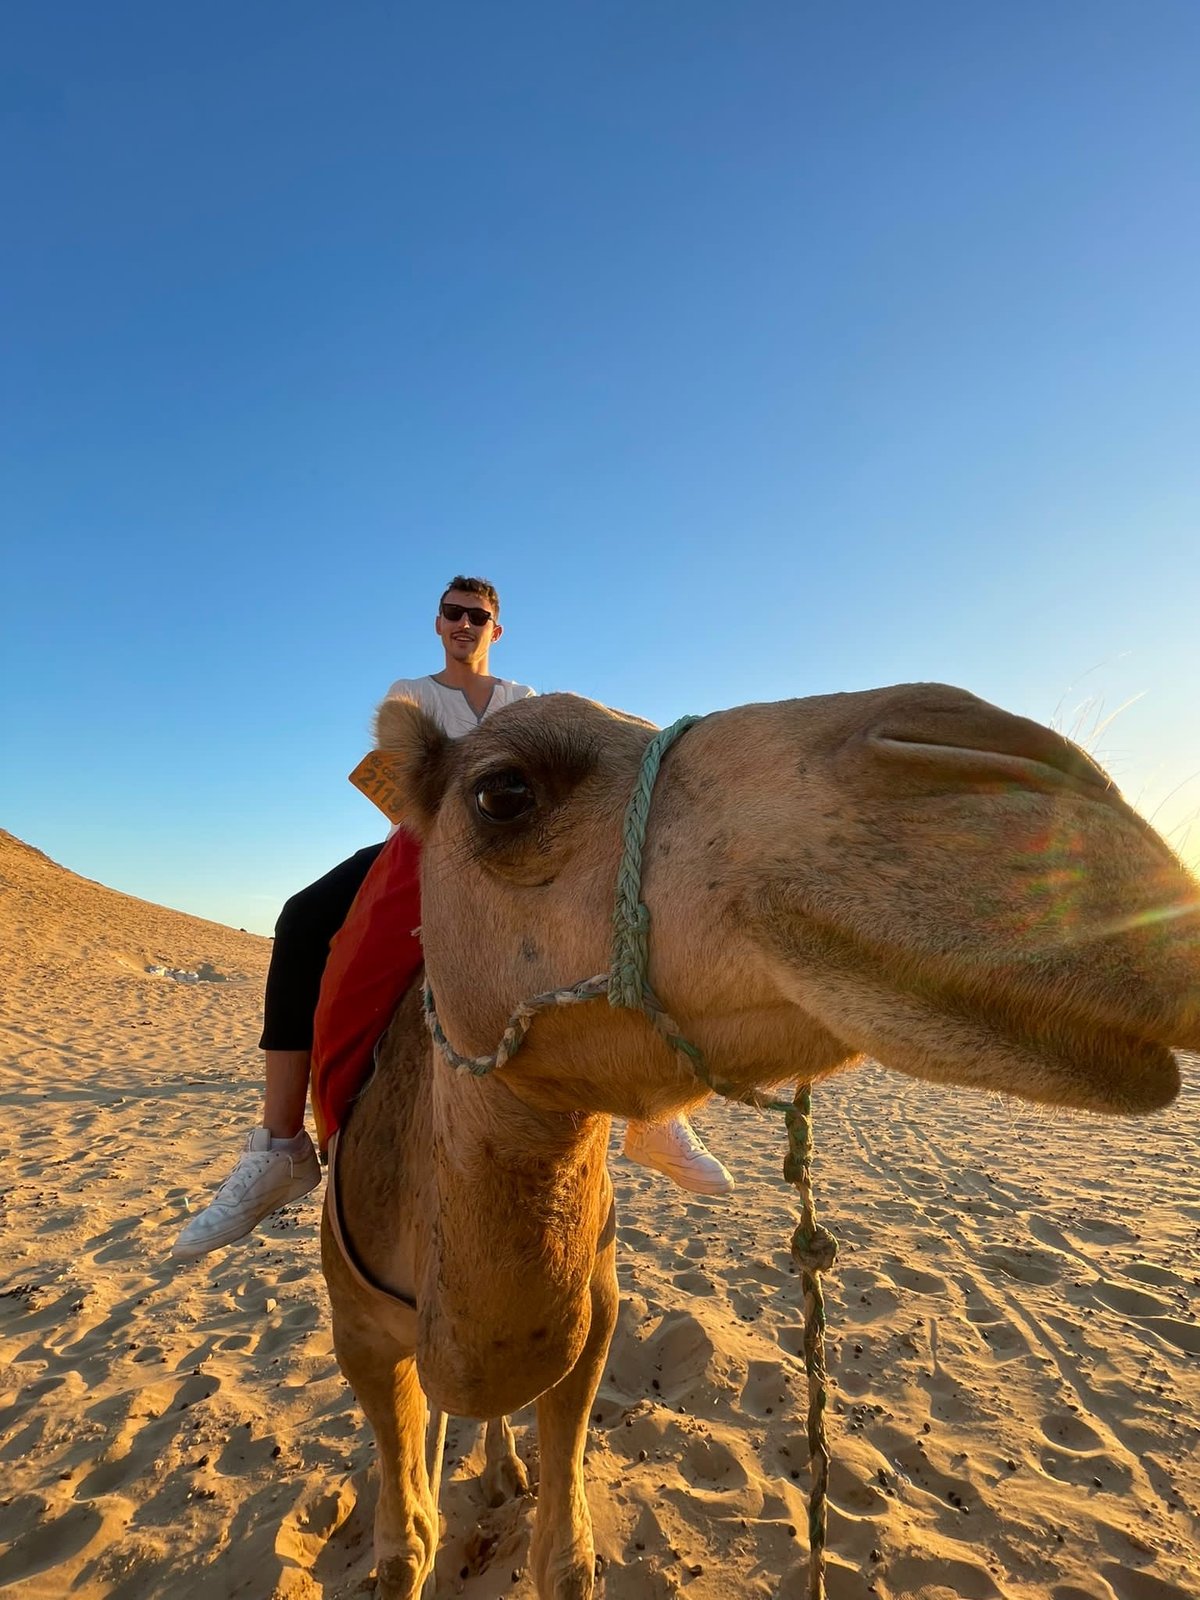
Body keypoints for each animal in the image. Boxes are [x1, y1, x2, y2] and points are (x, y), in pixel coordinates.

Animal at [321, 683, 1200, 1600]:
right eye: (503, 793)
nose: (1065, 803)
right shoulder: (358, 1336)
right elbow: (406, 1547)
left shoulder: (594, 1318)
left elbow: (565, 1557)